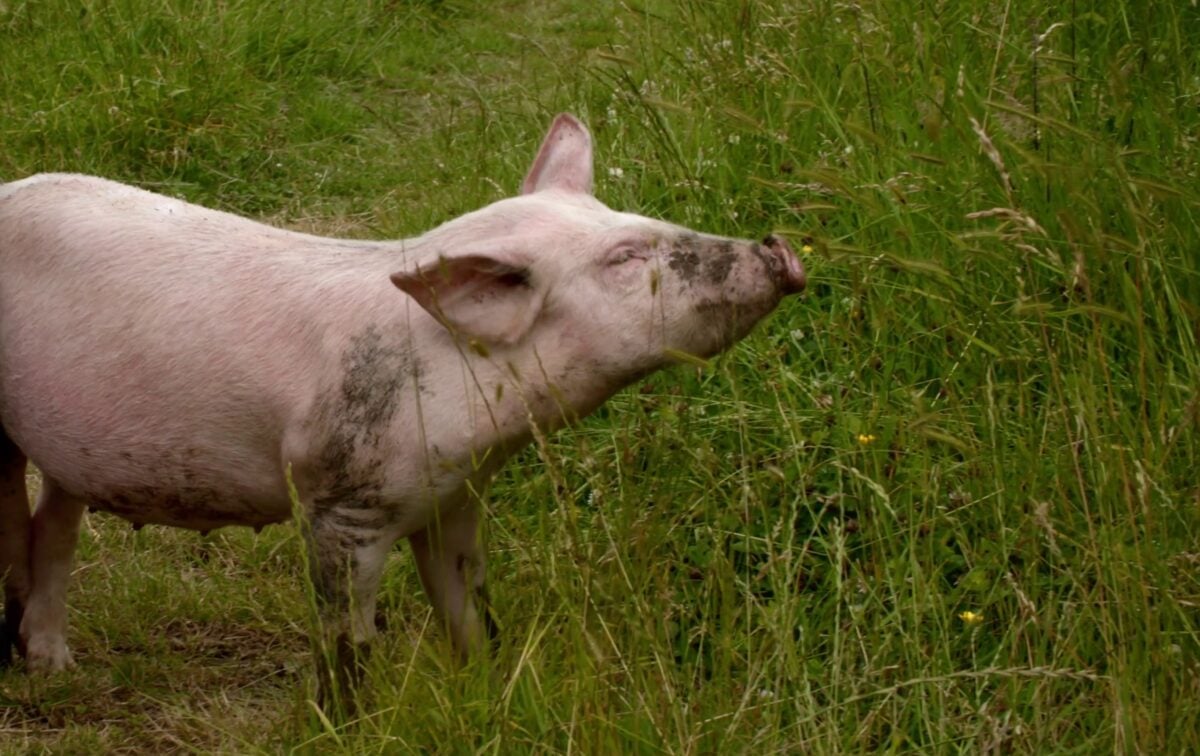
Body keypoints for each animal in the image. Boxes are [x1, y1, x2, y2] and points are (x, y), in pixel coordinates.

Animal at [2, 115, 806, 710]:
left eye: (643, 220)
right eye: (626, 256)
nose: (780, 249)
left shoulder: (456, 497)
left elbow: (471, 607)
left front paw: (487, 692)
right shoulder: (340, 500)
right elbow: (345, 639)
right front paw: (347, 719)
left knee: (54, 528)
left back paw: (55, 667)